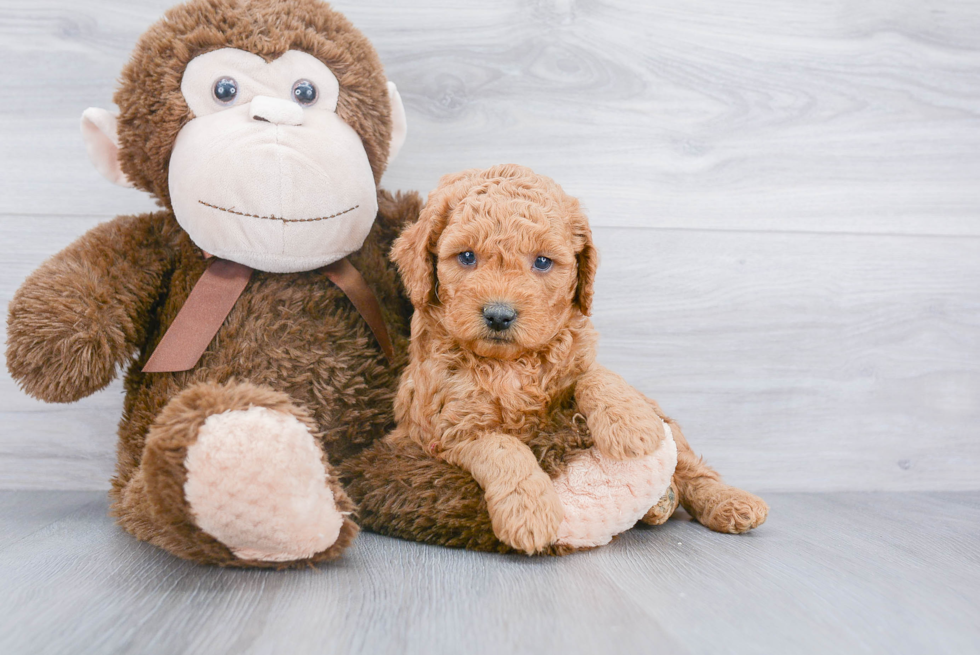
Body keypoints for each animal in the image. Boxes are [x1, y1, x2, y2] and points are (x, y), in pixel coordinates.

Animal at [382, 165, 672, 552]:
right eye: (467, 257)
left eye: (543, 262)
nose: (499, 315)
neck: (509, 363)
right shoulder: (452, 430)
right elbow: (504, 447)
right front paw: (529, 513)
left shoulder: (574, 362)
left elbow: (596, 374)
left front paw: (631, 425)